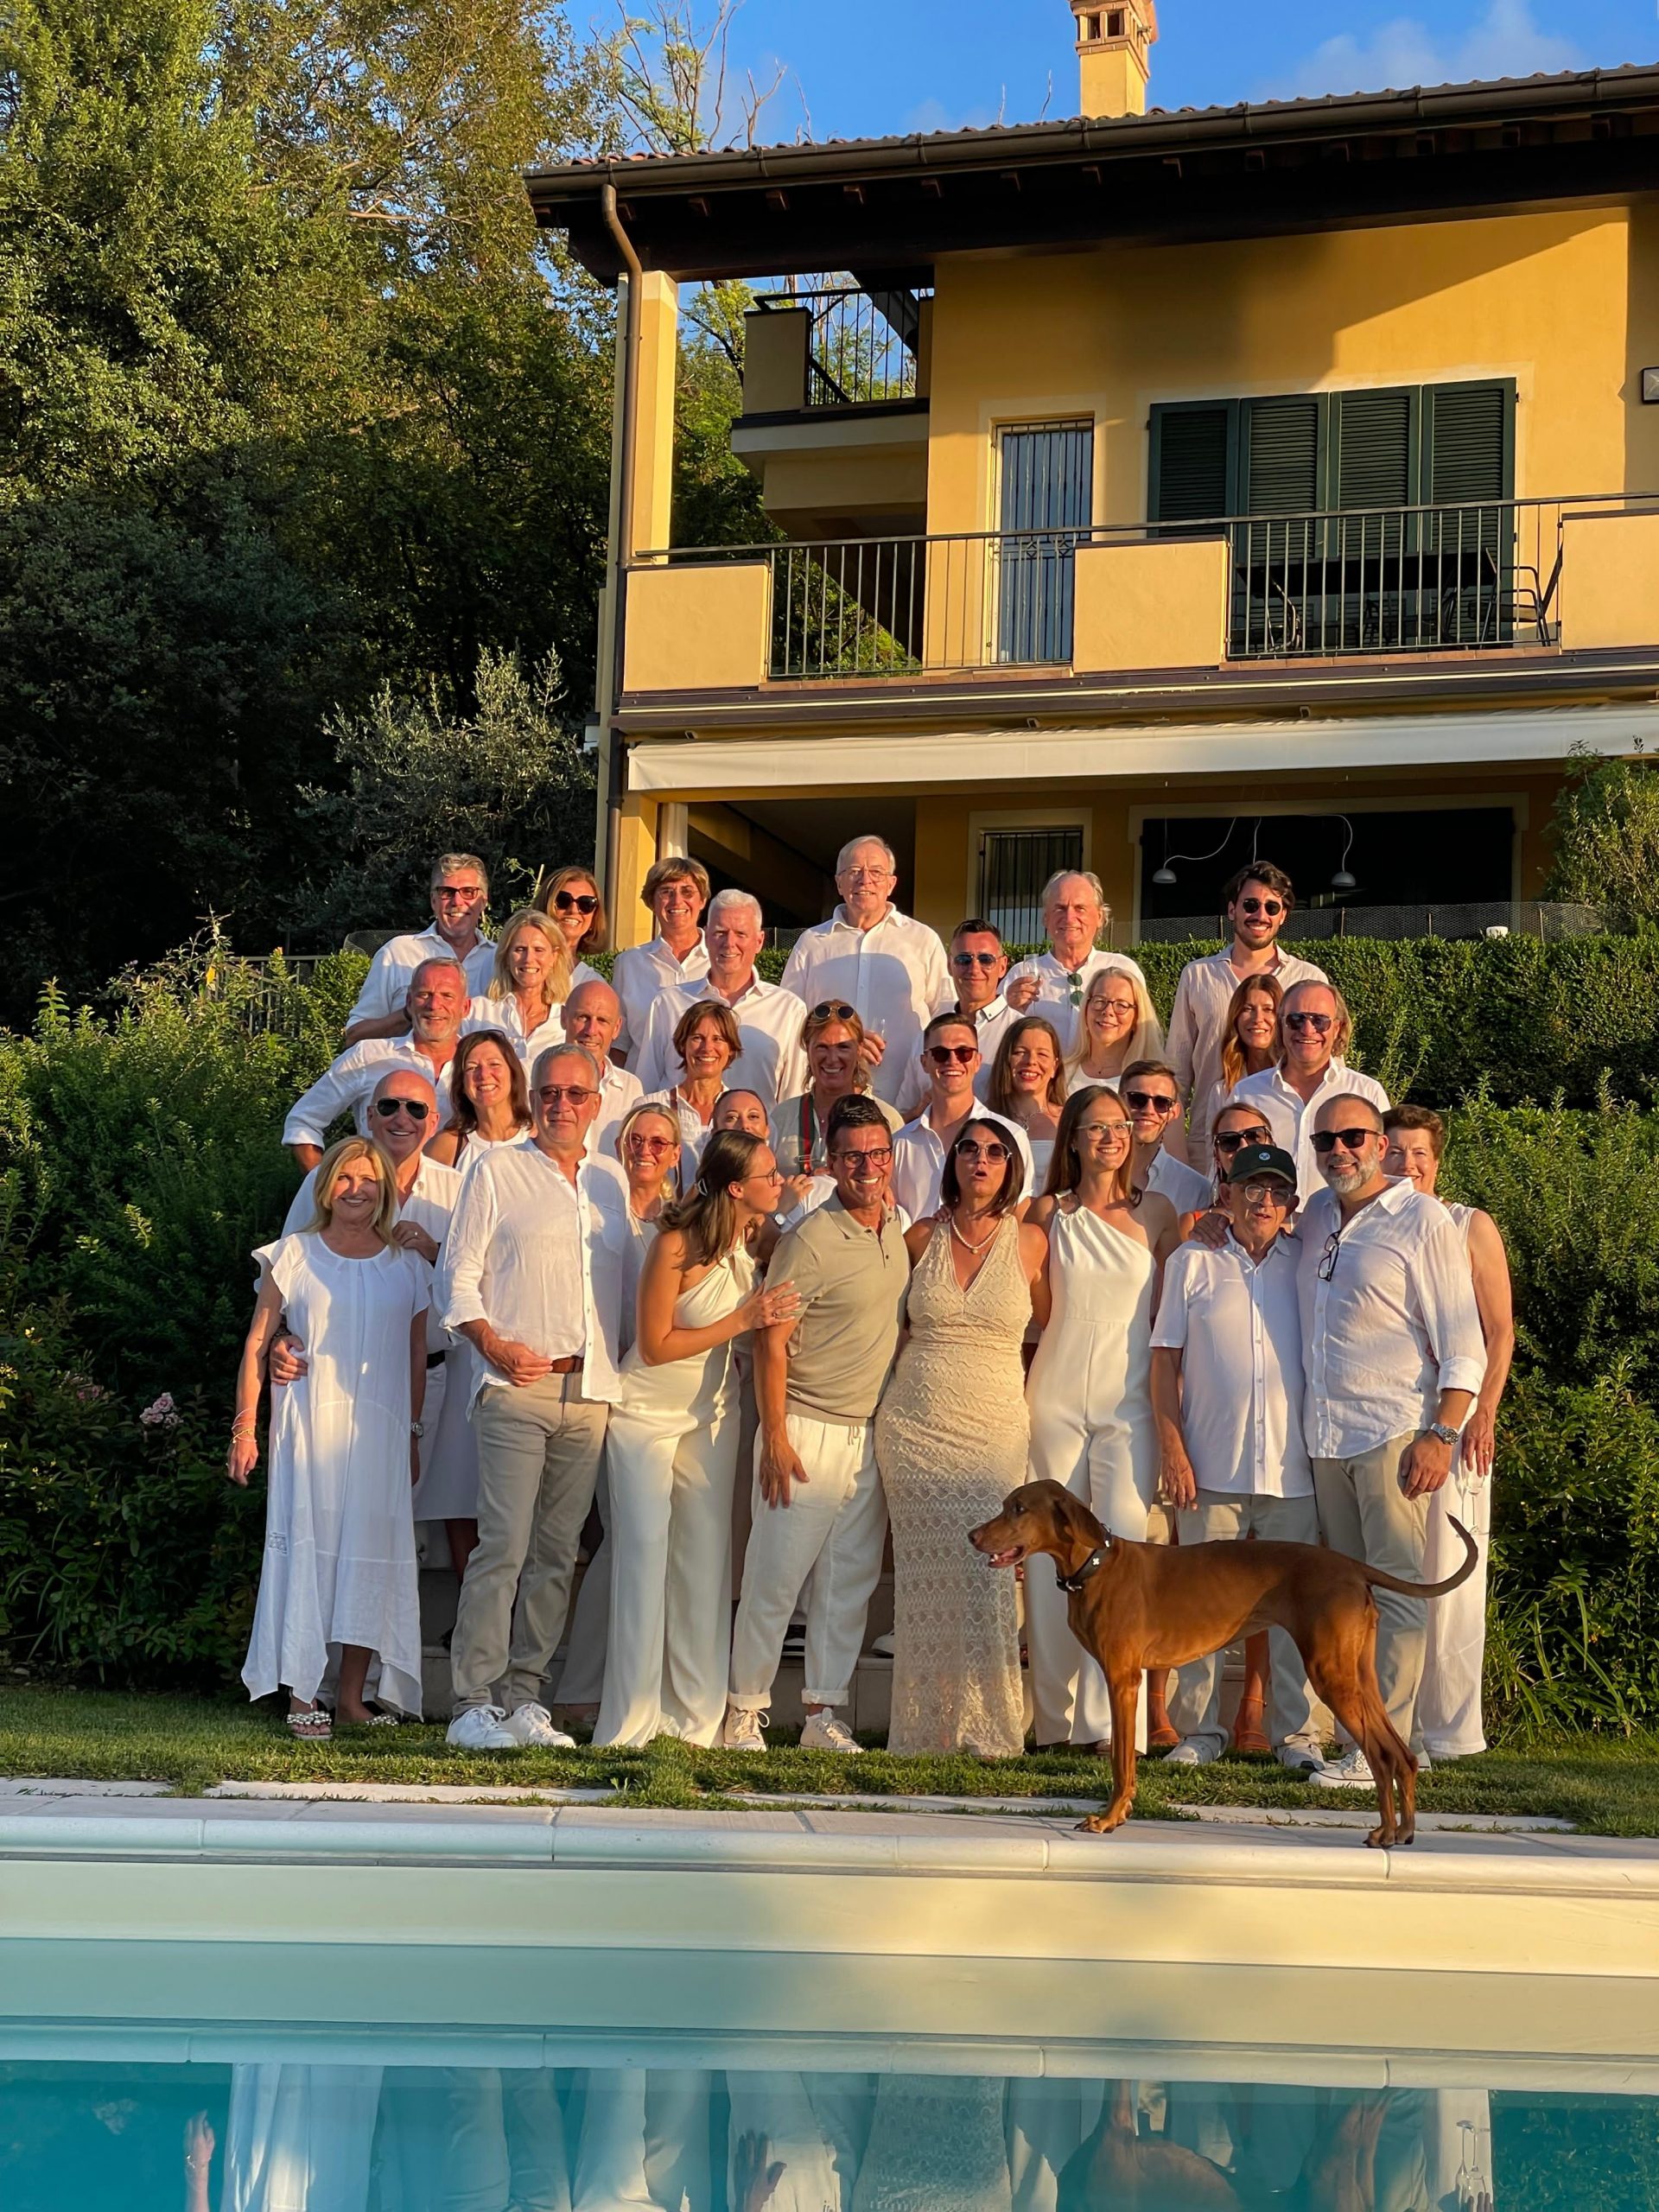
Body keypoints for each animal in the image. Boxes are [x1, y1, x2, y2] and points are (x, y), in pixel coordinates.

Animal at [970, 1478, 1477, 1847]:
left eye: (1019, 1508)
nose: (971, 1535)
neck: (1096, 1564)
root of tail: (1351, 1566)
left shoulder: (1123, 1680)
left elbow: (1120, 1761)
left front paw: (1110, 1819)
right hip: (1358, 1676)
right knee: (1401, 1754)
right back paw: (1404, 1830)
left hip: (1330, 1675)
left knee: (1378, 1754)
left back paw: (1387, 1833)